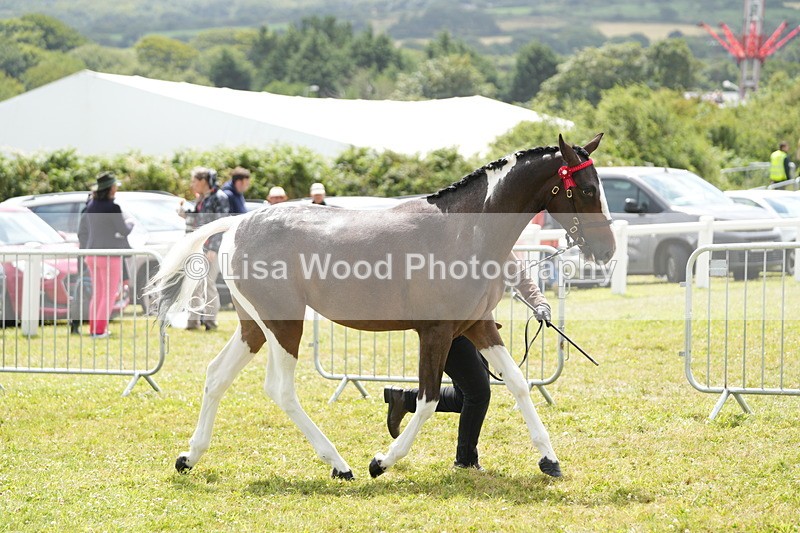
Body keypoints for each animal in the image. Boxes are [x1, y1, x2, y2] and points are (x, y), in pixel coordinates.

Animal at [148, 133, 615, 480]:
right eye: (588, 189)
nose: (608, 250)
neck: (465, 231)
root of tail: (238, 223)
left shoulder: (477, 326)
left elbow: (516, 384)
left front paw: (549, 460)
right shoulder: (436, 332)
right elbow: (427, 399)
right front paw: (381, 462)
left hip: (254, 326)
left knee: (216, 376)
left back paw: (189, 457)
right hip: (284, 324)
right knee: (280, 389)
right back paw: (340, 465)